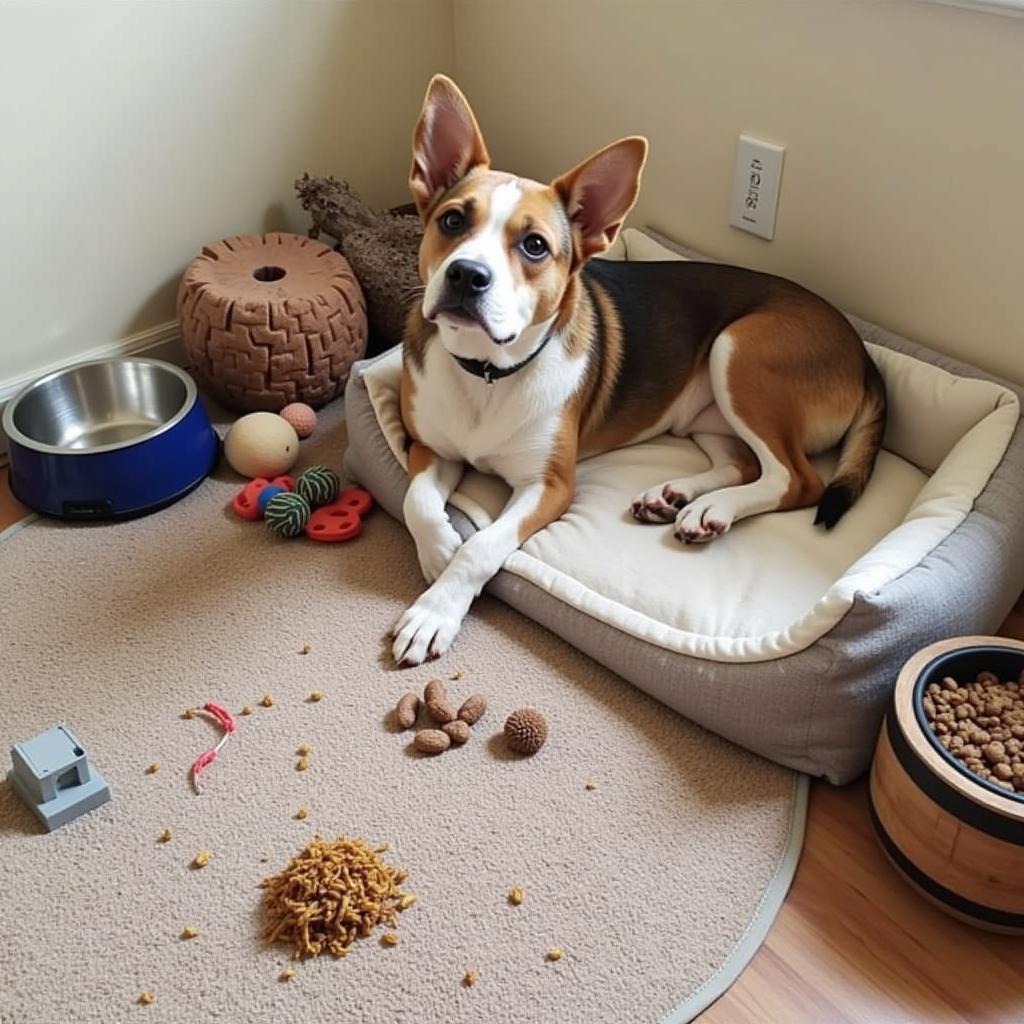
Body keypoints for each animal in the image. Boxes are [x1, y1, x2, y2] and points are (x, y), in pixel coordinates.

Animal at [387, 72, 884, 663]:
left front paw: (437, 609)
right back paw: (682, 500)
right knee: (744, 463)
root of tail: (863, 354)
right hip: (707, 414)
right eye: (452, 219)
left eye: (534, 246)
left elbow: (483, 544)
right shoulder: (427, 447)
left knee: (797, 479)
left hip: (740, 350)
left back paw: (712, 508)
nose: (466, 275)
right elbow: (417, 501)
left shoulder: (549, 485)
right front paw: (439, 548)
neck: (486, 373)